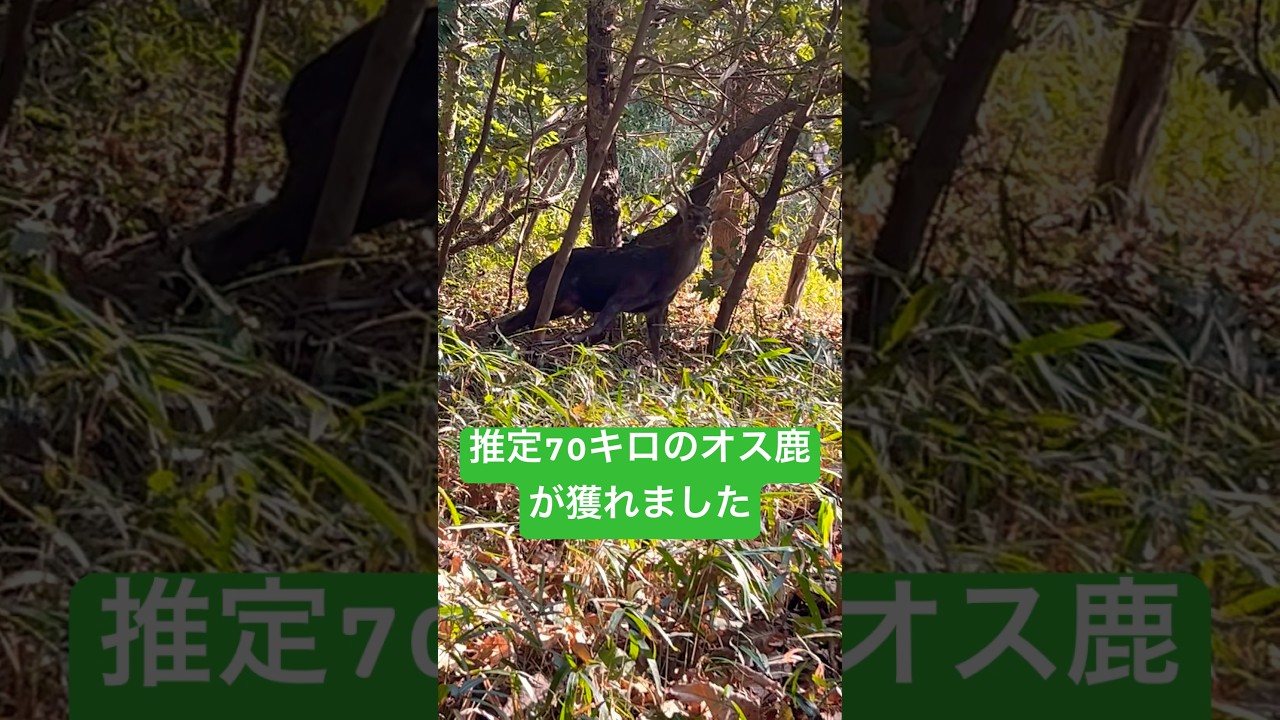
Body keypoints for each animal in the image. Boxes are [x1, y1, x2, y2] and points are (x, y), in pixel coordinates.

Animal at [496, 193, 717, 358]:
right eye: (690, 215)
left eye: (709, 219)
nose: (701, 230)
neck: (666, 273)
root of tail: (530, 276)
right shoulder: (621, 295)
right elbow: (595, 328)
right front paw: (571, 341)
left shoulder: (656, 308)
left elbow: (656, 349)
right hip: (547, 295)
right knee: (510, 323)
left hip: (563, 305)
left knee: (516, 323)